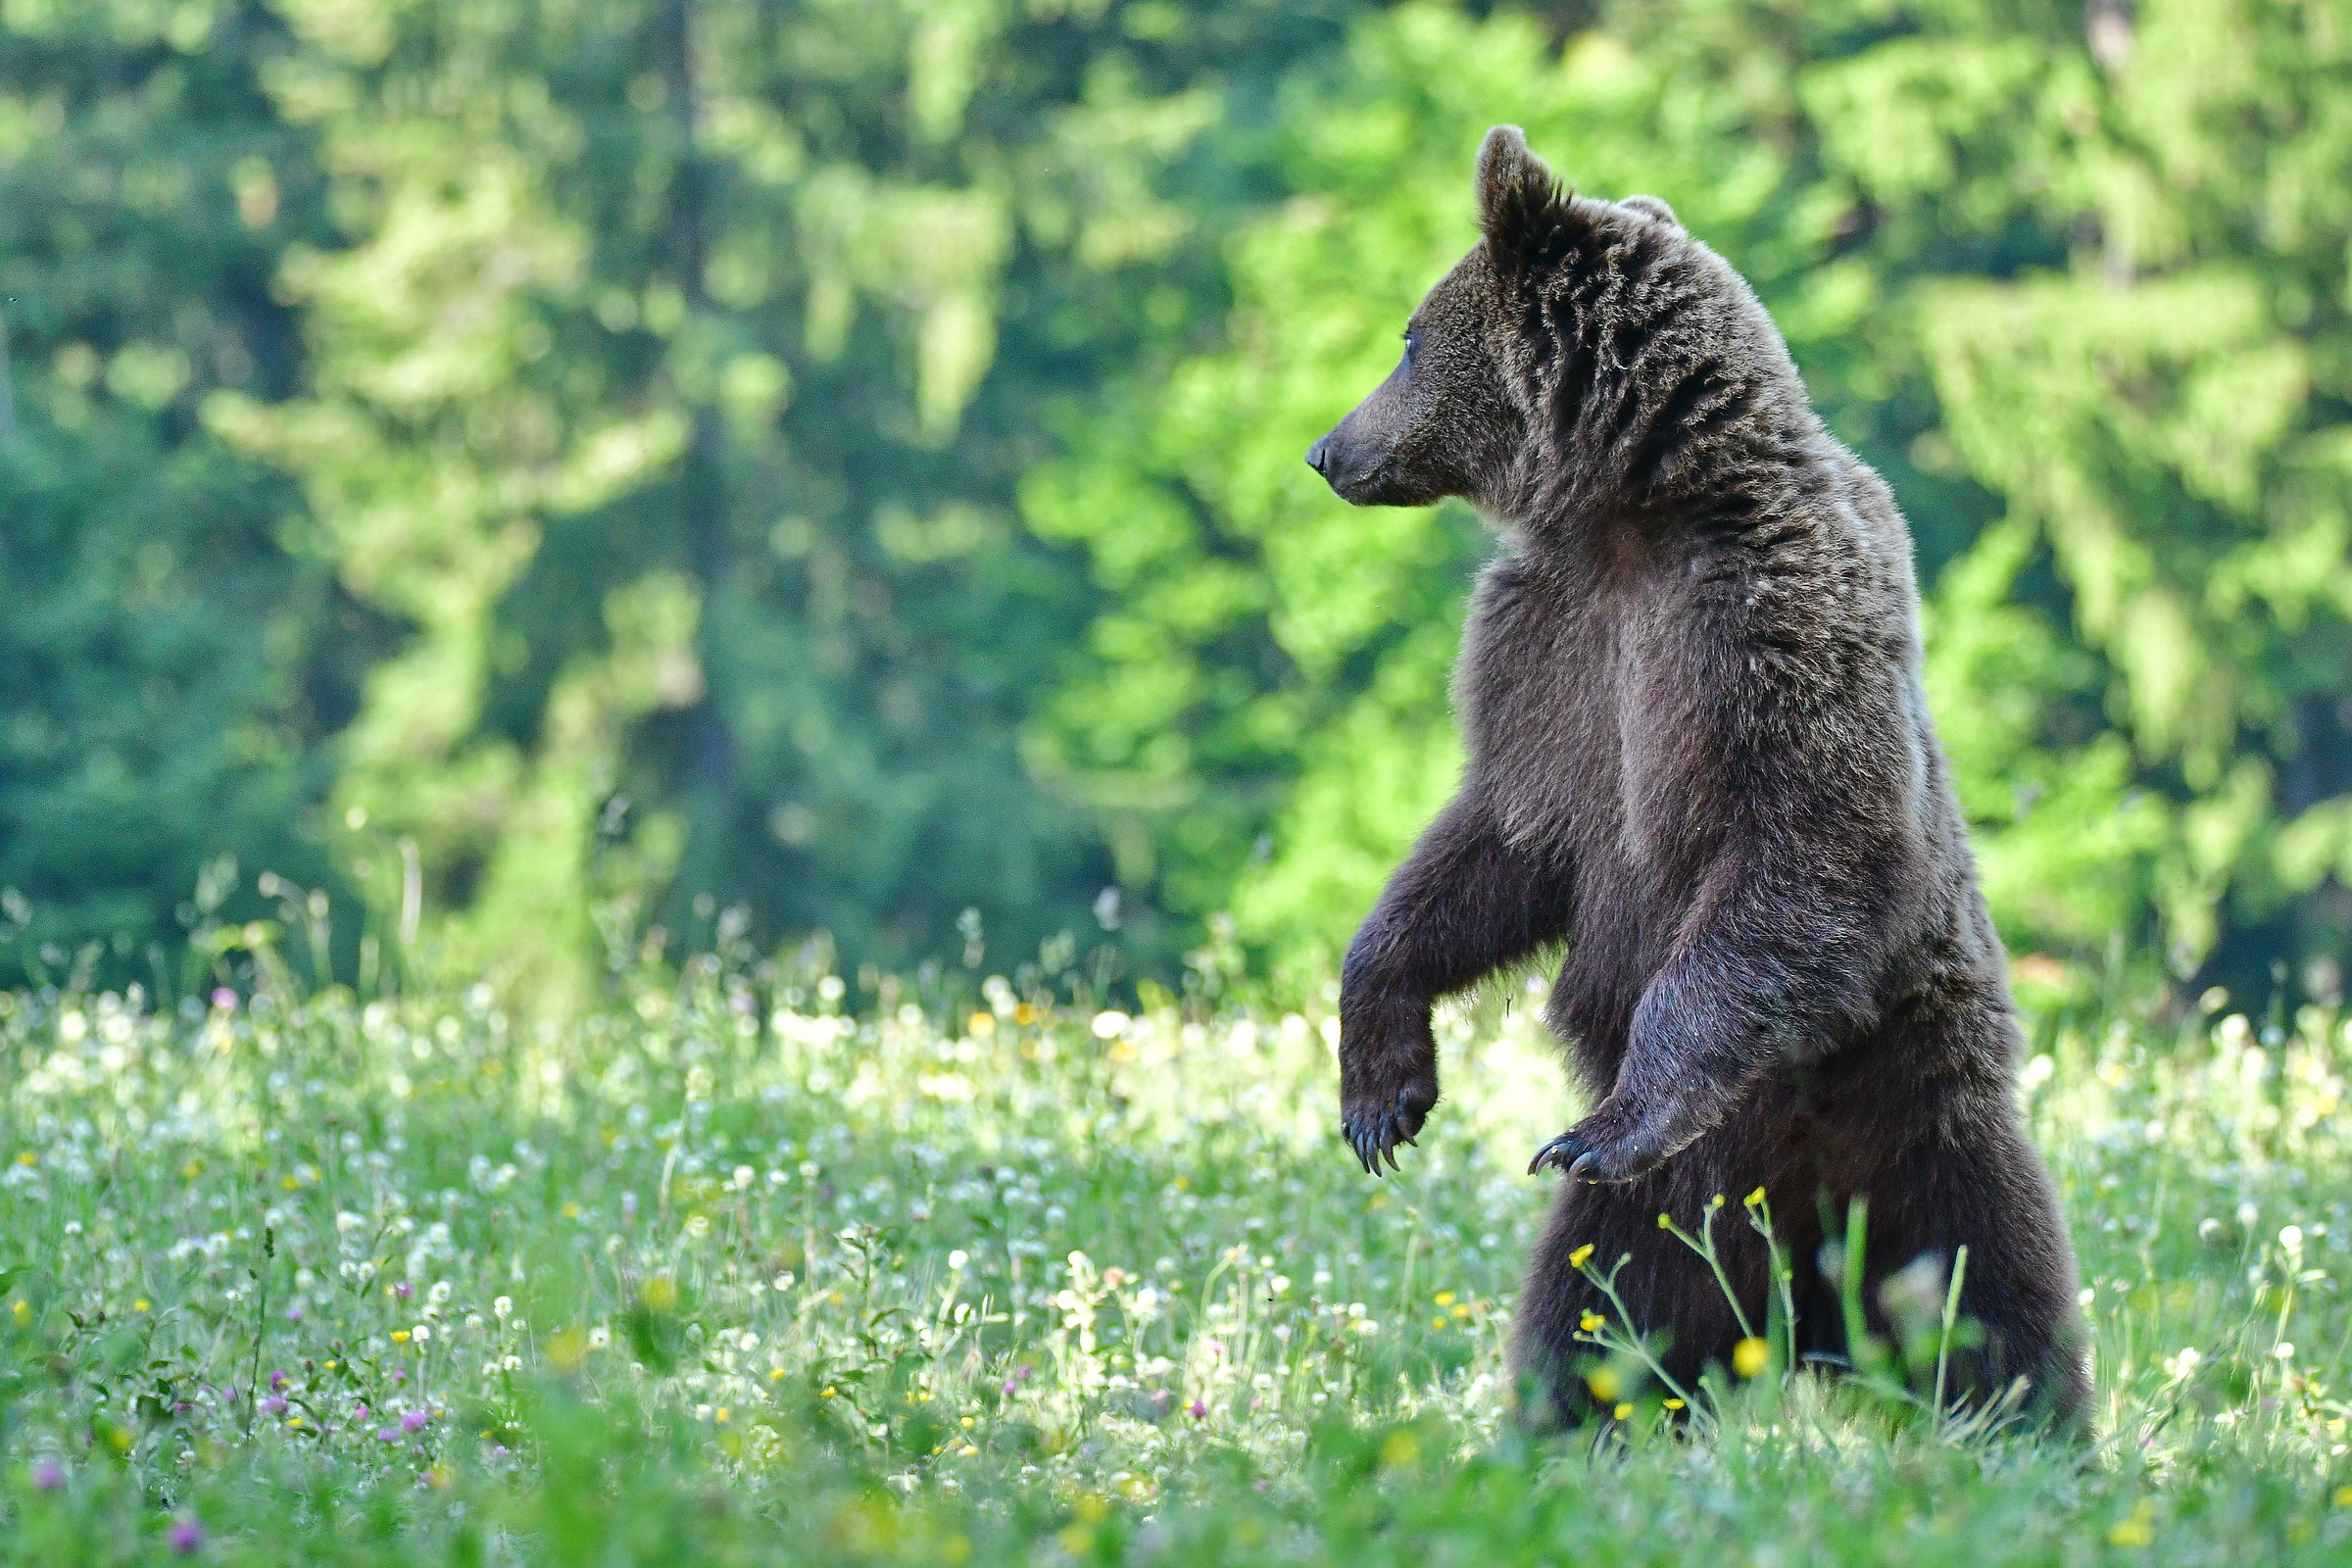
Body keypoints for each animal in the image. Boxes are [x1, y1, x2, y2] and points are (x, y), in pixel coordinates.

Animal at [1306, 126, 2088, 1430]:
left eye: (1410, 338)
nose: (1329, 449)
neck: (1633, 515)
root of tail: (1802, 1294)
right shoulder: (1551, 657)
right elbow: (1498, 842)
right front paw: (1383, 1090)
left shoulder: (1766, 629)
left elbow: (1807, 854)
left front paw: (1615, 1120)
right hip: (1659, 1225)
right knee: (1593, 1322)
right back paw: (1567, 1428)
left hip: (1918, 1133)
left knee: (1991, 1303)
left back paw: (2031, 1433)